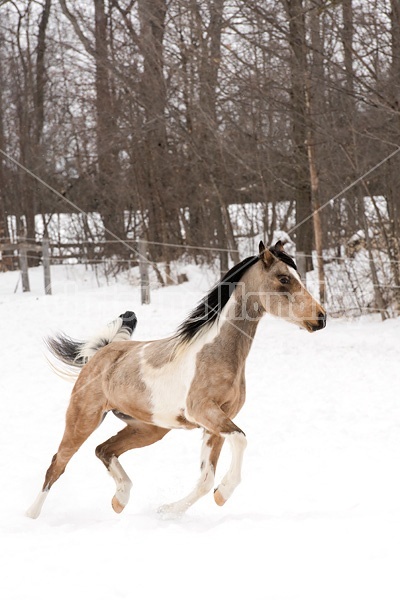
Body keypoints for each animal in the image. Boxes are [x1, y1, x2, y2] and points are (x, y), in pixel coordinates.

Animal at [25, 241, 324, 516]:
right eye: (283, 278)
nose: (320, 318)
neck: (216, 352)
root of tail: (101, 353)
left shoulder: (215, 423)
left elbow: (205, 480)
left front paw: (169, 510)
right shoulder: (204, 412)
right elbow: (240, 439)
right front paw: (223, 494)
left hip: (149, 429)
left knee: (104, 450)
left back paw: (120, 499)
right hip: (83, 419)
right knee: (57, 464)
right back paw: (31, 516)